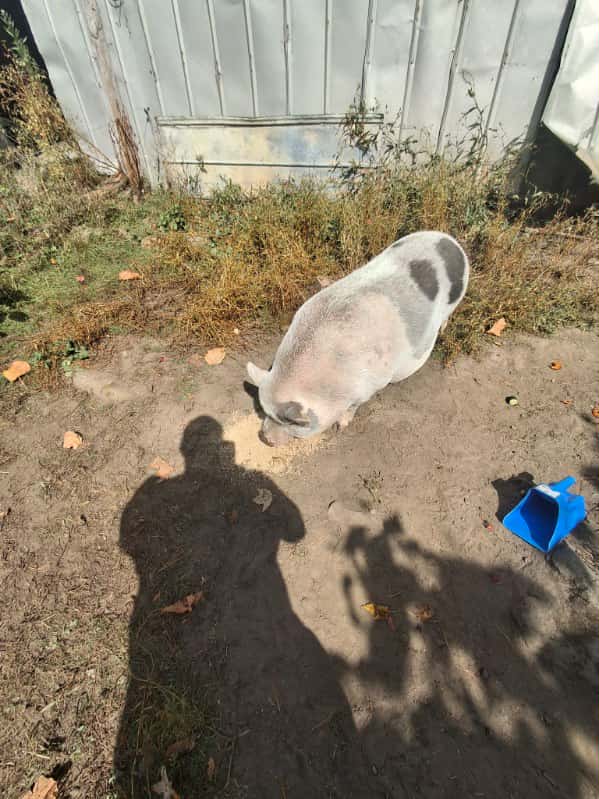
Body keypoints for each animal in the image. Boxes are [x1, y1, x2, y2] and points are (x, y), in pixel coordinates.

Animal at [246, 231, 469, 446]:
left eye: (291, 422)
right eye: (264, 411)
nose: (265, 438)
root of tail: (450, 241)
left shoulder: (370, 386)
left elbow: (353, 407)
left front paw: (341, 426)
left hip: (457, 297)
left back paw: (442, 330)